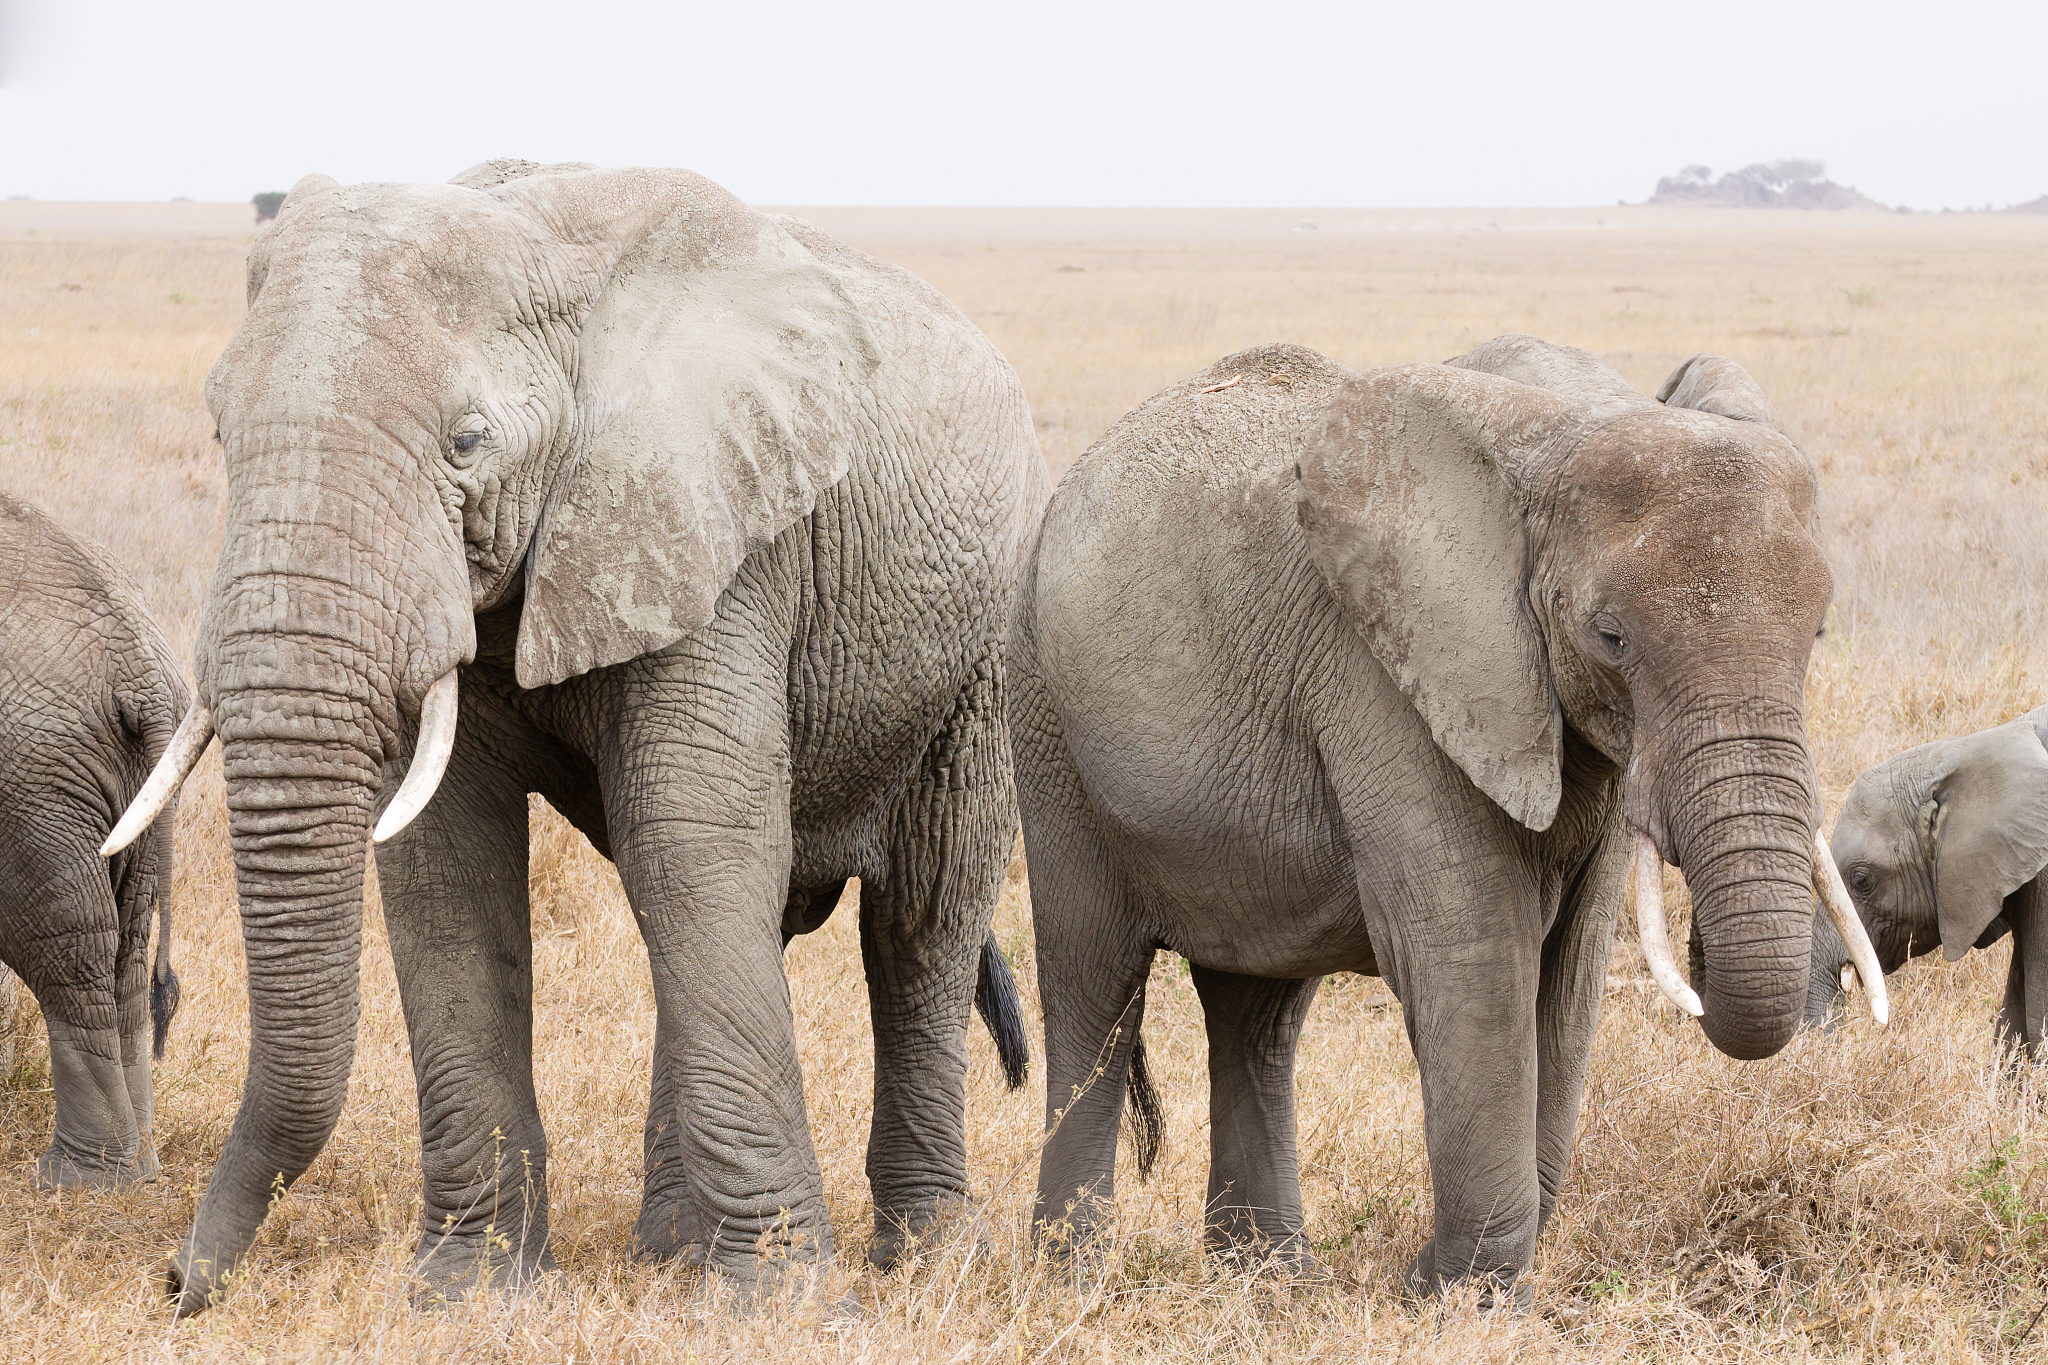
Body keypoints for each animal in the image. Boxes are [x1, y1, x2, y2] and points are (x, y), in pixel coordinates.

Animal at [0, 491, 183, 1188]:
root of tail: (141, 671)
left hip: (34, 783)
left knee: (71, 951)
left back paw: (75, 1180)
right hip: (137, 787)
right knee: (126, 945)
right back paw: (138, 1169)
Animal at [107, 159, 1045, 1313]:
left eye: (466, 443)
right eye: (219, 436)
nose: (177, 1280)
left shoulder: (714, 537)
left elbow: (691, 840)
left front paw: (776, 1306)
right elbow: (447, 865)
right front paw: (468, 1291)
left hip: (982, 649)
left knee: (919, 916)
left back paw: (930, 1258)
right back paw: (671, 1248)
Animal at [1009, 335, 1886, 1302]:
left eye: (1818, 631)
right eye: (1610, 636)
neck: (1561, 427)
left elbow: (1569, 970)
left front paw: (1461, 1281)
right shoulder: (1386, 672)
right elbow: (1471, 949)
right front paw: (1460, 1296)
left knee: (1257, 1014)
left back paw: (1269, 1281)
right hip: (1047, 723)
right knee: (1095, 983)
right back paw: (1074, 1278)